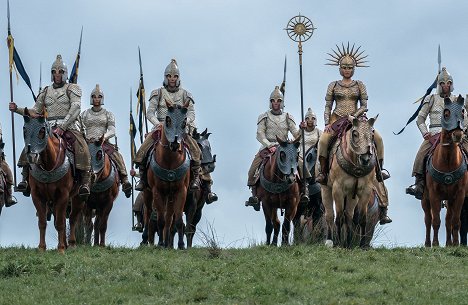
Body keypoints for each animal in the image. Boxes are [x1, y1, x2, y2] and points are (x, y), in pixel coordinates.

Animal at [22, 109, 80, 252]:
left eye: (42, 130)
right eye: (24, 129)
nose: (31, 156)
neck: (49, 163)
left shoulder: (63, 195)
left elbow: (60, 223)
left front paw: (61, 249)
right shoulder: (37, 195)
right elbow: (42, 222)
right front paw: (42, 248)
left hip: (78, 197)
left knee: (72, 218)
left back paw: (71, 244)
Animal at [144, 100, 192, 247]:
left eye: (184, 122)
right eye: (168, 119)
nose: (175, 144)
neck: (170, 161)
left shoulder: (181, 191)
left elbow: (177, 220)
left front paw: (181, 245)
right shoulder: (157, 191)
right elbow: (160, 220)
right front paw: (160, 243)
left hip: (170, 196)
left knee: (170, 217)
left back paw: (168, 243)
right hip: (148, 192)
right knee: (149, 214)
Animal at [322, 116, 380, 247]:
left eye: (372, 134)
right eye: (355, 134)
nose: (365, 158)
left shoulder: (365, 191)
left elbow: (362, 219)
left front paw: (362, 245)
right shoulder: (337, 189)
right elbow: (338, 217)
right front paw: (338, 243)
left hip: (351, 196)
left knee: (349, 215)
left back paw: (348, 243)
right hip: (326, 189)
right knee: (330, 215)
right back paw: (330, 241)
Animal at [422, 96, 466, 246]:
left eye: (462, 113)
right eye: (446, 114)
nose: (457, 134)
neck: (447, 162)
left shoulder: (459, 195)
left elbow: (455, 222)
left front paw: (456, 244)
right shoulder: (434, 194)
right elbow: (435, 221)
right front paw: (435, 244)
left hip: (449, 200)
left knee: (448, 220)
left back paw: (448, 243)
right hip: (425, 198)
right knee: (428, 219)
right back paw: (428, 244)